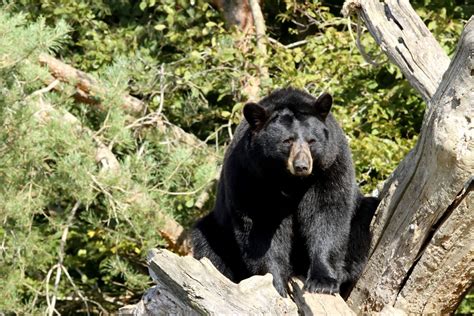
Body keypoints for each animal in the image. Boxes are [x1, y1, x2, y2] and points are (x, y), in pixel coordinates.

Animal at [191, 87, 380, 298]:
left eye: (312, 141)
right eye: (287, 141)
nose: (302, 166)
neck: (289, 180)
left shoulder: (330, 166)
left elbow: (327, 214)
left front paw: (323, 282)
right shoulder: (249, 174)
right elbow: (260, 227)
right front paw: (276, 284)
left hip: (361, 212)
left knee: (362, 222)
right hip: (219, 230)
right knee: (208, 244)